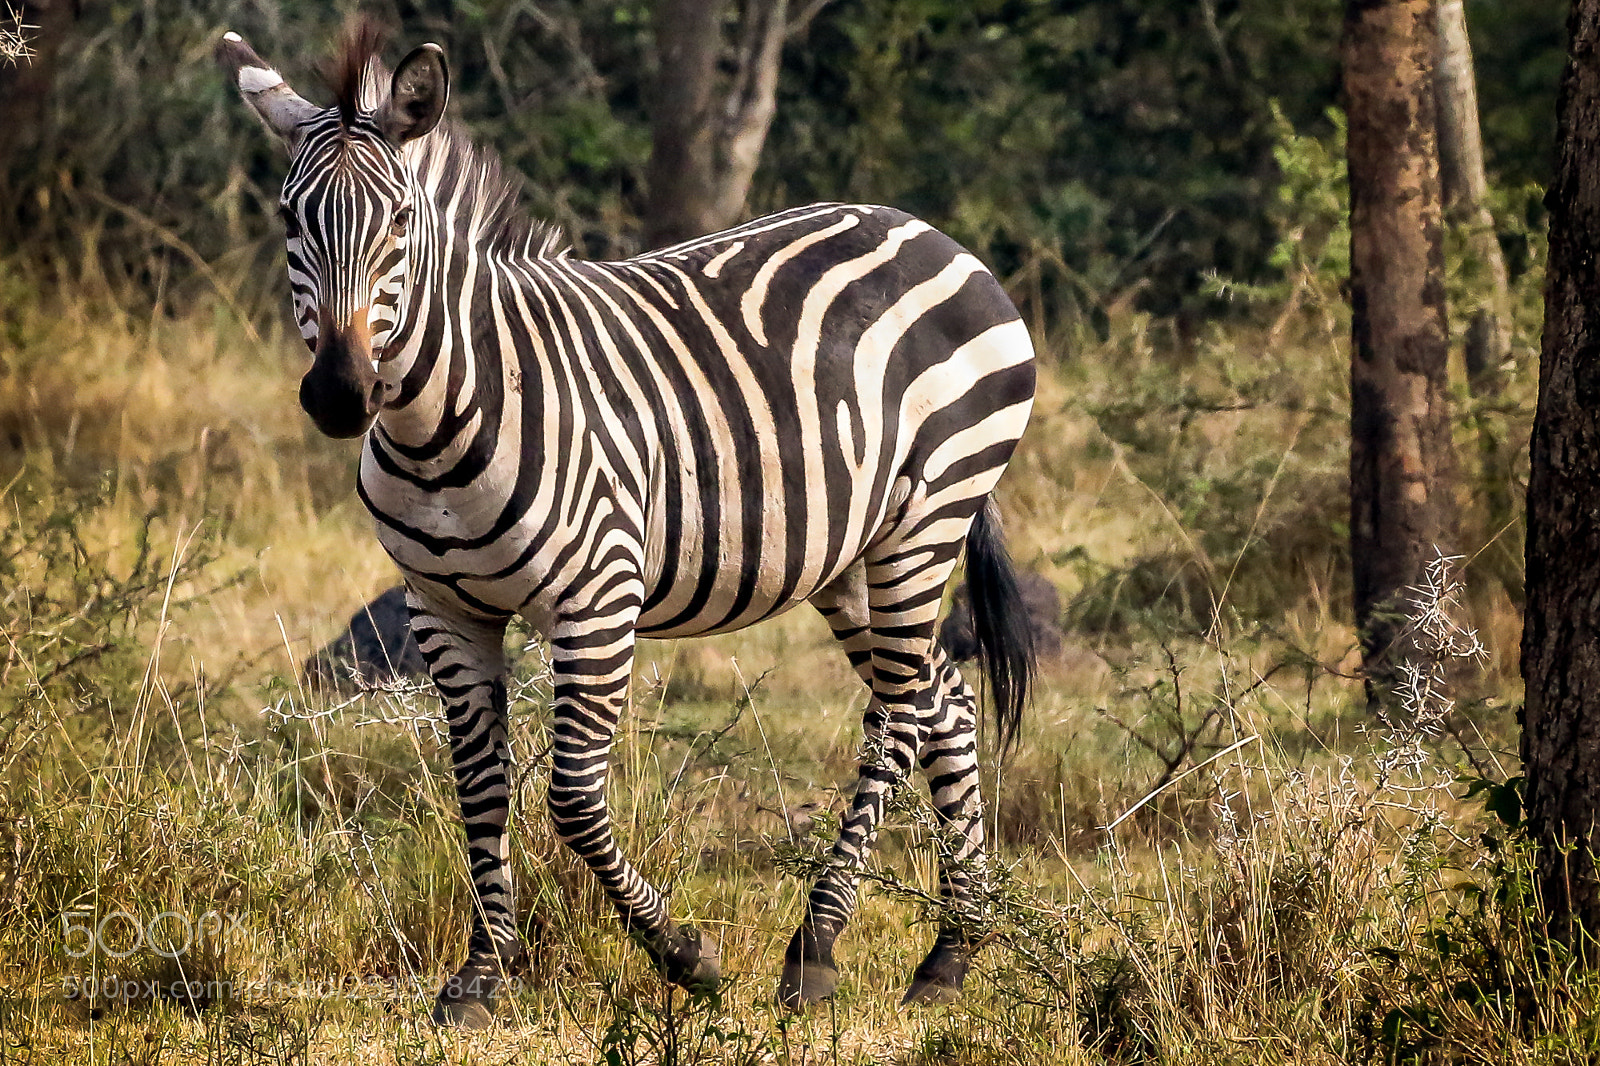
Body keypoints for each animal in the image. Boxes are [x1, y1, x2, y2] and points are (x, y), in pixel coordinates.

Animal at [218, 24, 1037, 1027]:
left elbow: (572, 798)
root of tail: (931, 233)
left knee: (901, 716)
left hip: (928, 518)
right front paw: (480, 978)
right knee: (942, 699)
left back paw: (817, 950)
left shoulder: (597, 601)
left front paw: (684, 955)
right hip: (849, 552)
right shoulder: (441, 608)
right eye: (290, 221)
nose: (340, 394)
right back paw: (952, 950)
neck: (437, 426)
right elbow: (479, 787)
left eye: (401, 224)